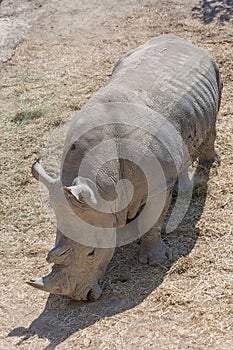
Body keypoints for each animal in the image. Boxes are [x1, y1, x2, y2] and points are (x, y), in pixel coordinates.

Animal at [28, 33, 223, 300]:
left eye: (91, 253)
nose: (80, 298)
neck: (102, 182)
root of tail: (183, 41)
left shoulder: (156, 184)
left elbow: (152, 219)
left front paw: (155, 260)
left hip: (214, 69)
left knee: (212, 122)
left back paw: (206, 171)